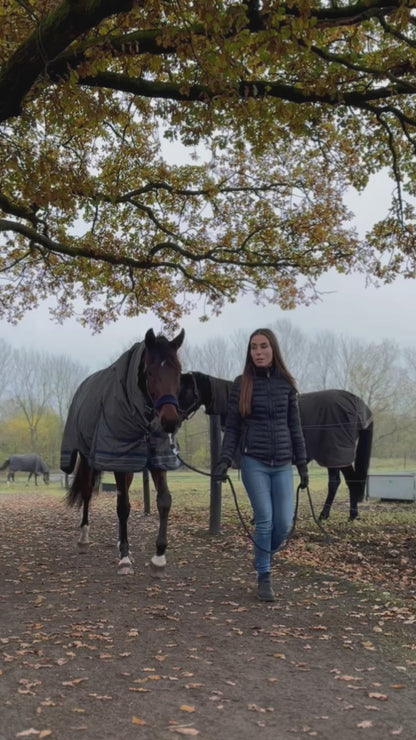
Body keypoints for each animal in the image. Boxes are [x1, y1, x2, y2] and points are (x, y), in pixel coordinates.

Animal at [61, 326, 184, 576]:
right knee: (88, 492)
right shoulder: (117, 459)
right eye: (149, 372)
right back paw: (84, 537)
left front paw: (159, 557)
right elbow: (123, 507)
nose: (169, 421)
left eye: (178, 371)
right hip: (89, 459)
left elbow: (164, 501)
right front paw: (125, 559)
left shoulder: (157, 459)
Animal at [179, 376, 374, 520]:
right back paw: (335, 515)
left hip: (337, 455)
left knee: (346, 481)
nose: (175, 415)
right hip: (333, 457)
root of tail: (358, 404)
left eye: (186, 389)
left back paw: (341, 515)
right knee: (341, 482)